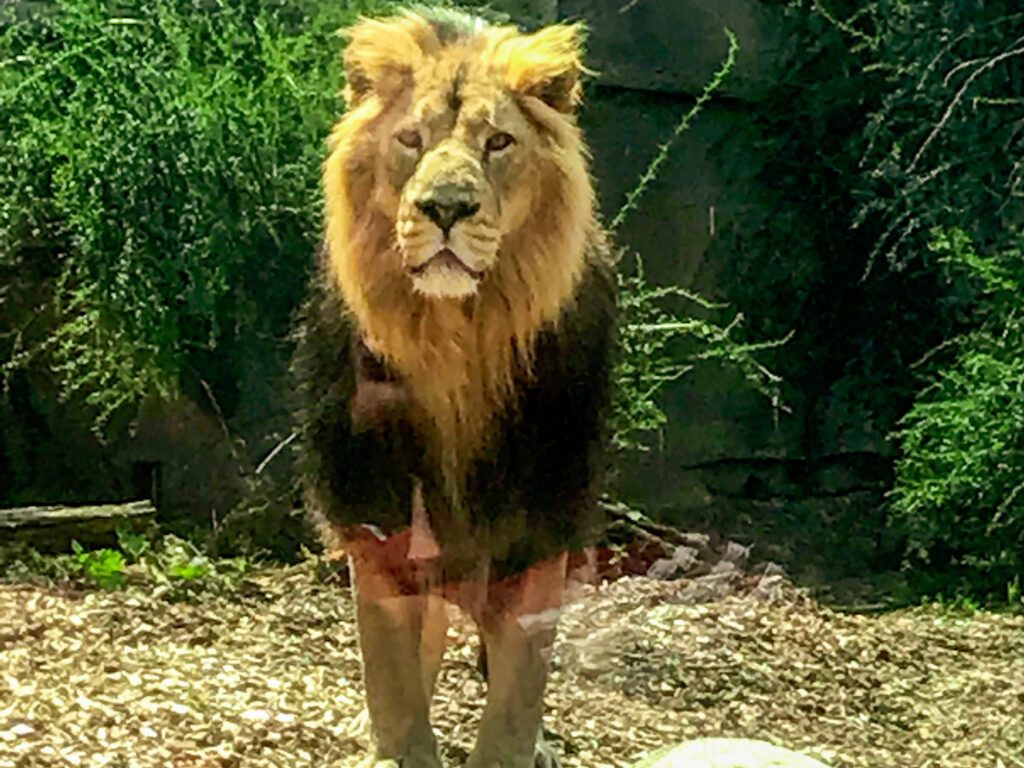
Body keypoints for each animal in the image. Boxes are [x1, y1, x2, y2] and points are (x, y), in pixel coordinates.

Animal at [294, 7, 614, 768]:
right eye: (411, 140)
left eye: (498, 142)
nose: (445, 207)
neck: (457, 345)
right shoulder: (377, 515)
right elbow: (395, 681)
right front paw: (394, 746)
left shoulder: (541, 519)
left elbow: (516, 697)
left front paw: (519, 743)